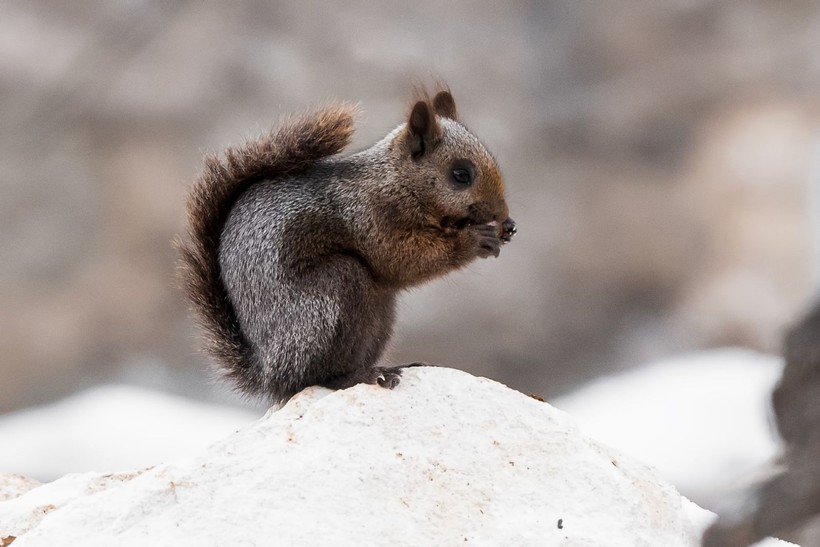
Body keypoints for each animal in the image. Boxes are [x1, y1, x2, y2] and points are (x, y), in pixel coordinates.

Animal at [177, 90, 516, 404]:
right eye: (461, 174)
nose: (502, 215)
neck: (393, 181)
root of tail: (269, 373)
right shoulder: (368, 217)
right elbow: (400, 260)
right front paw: (475, 239)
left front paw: (507, 230)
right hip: (330, 300)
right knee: (314, 376)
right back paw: (362, 375)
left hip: (380, 310)